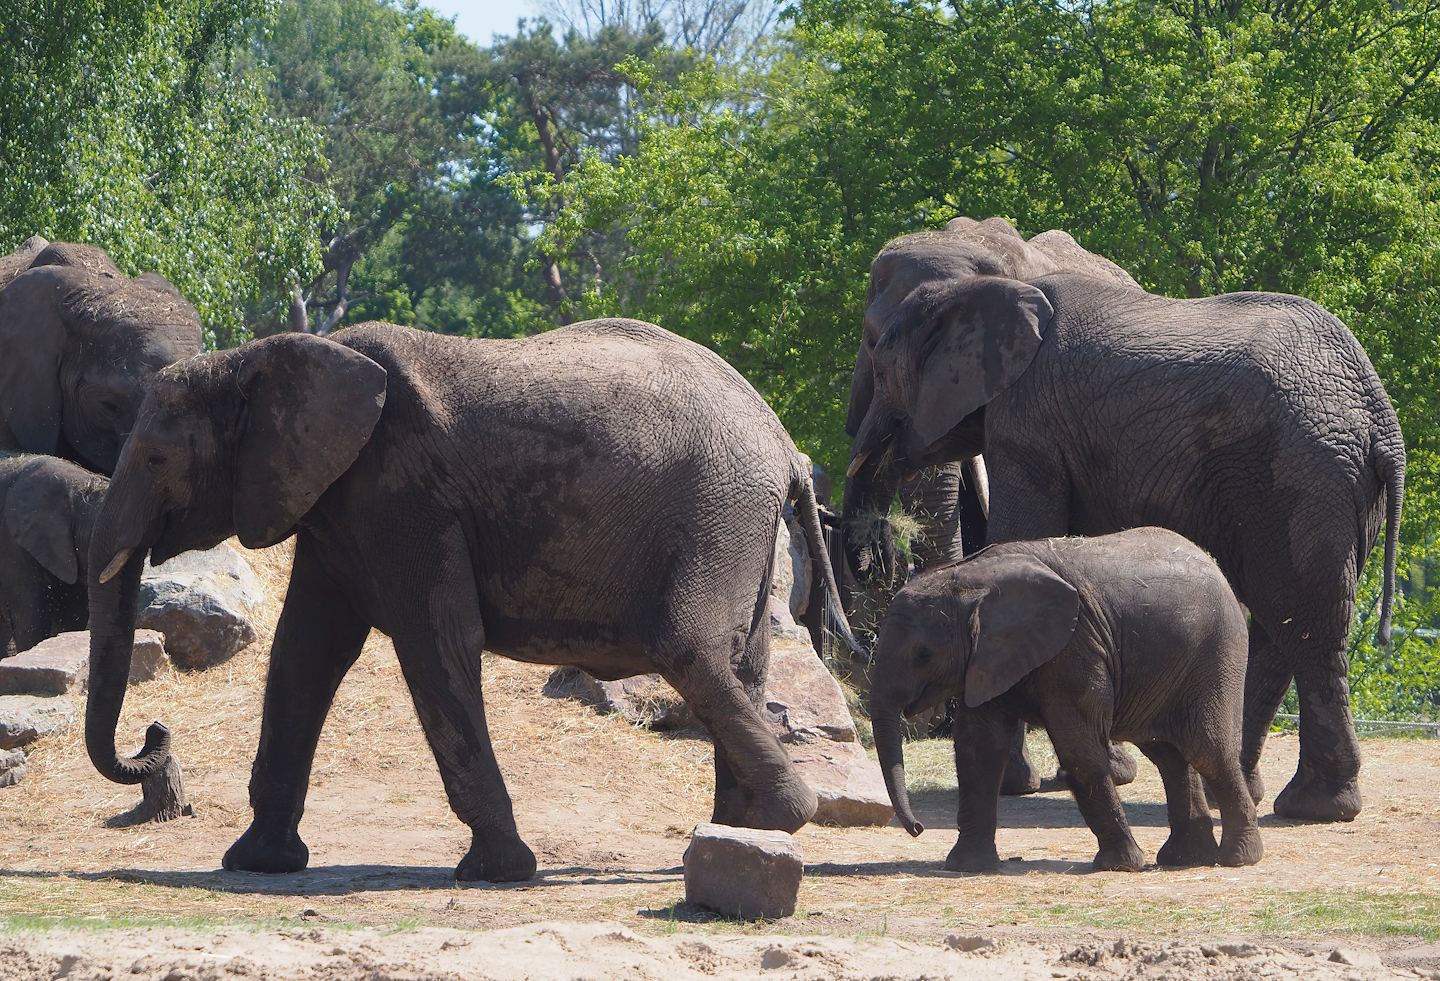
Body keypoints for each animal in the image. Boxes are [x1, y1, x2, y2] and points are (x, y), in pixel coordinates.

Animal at [84, 320, 861, 882]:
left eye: (155, 457)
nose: (155, 733)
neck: (262, 356)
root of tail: (784, 443)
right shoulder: (339, 507)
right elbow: (305, 652)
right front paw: (257, 864)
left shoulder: (403, 494)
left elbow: (435, 644)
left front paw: (496, 871)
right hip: (738, 521)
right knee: (742, 662)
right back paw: (735, 833)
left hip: (716, 508)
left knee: (688, 647)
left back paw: (781, 816)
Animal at [848, 269, 1406, 822]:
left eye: (880, 363)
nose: (874, 554)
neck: (984, 285)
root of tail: (1383, 419)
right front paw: (1106, 768)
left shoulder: (1029, 421)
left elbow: (1020, 533)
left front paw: (1016, 785)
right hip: (1335, 485)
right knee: (1286, 624)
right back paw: (1243, 794)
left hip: (1300, 474)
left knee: (1304, 624)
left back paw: (1313, 807)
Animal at [871, 528, 1264, 873]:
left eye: (923, 655)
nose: (918, 828)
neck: (967, 578)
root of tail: (1214, 566)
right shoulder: (986, 658)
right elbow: (978, 749)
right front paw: (967, 867)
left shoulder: (1075, 648)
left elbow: (1078, 749)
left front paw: (1119, 866)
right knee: (1169, 754)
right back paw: (1185, 859)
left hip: (1216, 653)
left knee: (1206, 748)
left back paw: (1238, 859)